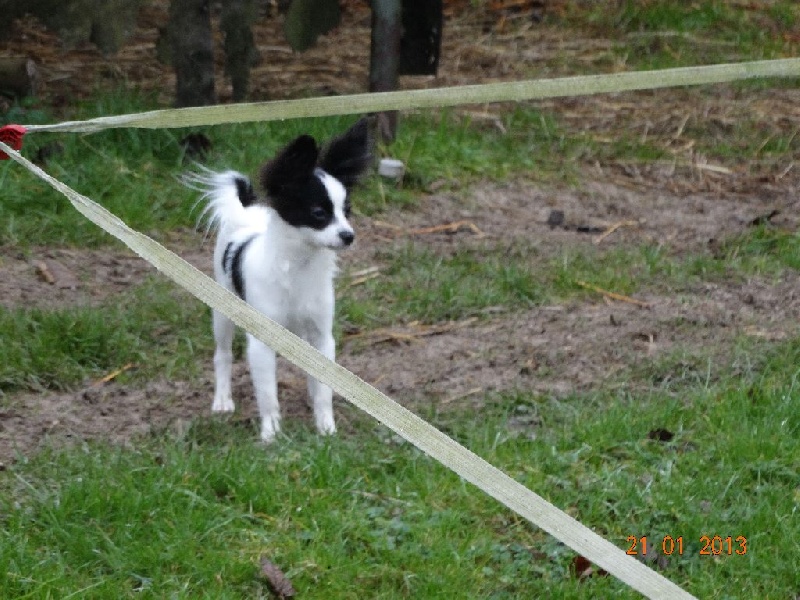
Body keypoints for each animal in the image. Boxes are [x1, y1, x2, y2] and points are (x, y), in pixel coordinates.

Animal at [186, 119, 372, 442]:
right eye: (319, 213)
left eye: (346, 211)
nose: (349, 235)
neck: (300, 266)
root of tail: (247, 209)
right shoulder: (262, 342)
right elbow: (268, 395)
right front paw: (271, 436)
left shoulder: (321, 336)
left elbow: (324, 389)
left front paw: (326, 428)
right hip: (223, 312)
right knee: (222, 355)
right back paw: (222, 401)